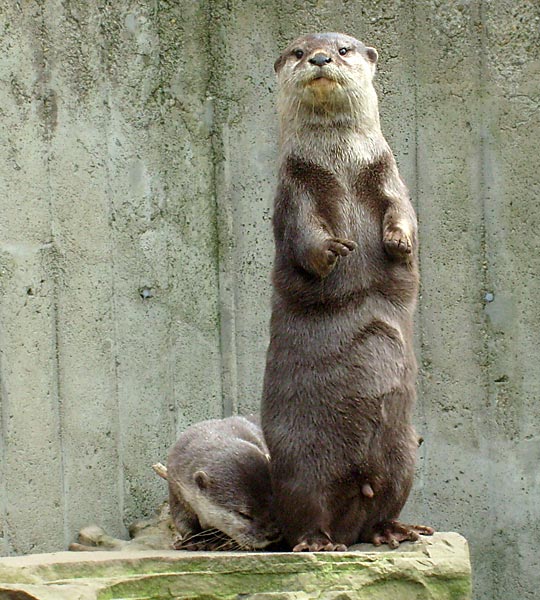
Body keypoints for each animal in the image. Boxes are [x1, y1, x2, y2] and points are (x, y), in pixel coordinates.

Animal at [262, 30, 434, 552]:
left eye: (343, 49)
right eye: (298, 52)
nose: (319, 59)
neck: (340, 163)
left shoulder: (389, 175)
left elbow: (403, 213)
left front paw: (398, 242)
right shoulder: (295, 187)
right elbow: (304, 233)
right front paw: (333, 251)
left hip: (405, 456)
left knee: (384, 503)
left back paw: (396, 530)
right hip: (298, 464)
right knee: (307, 508)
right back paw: (318, 543)